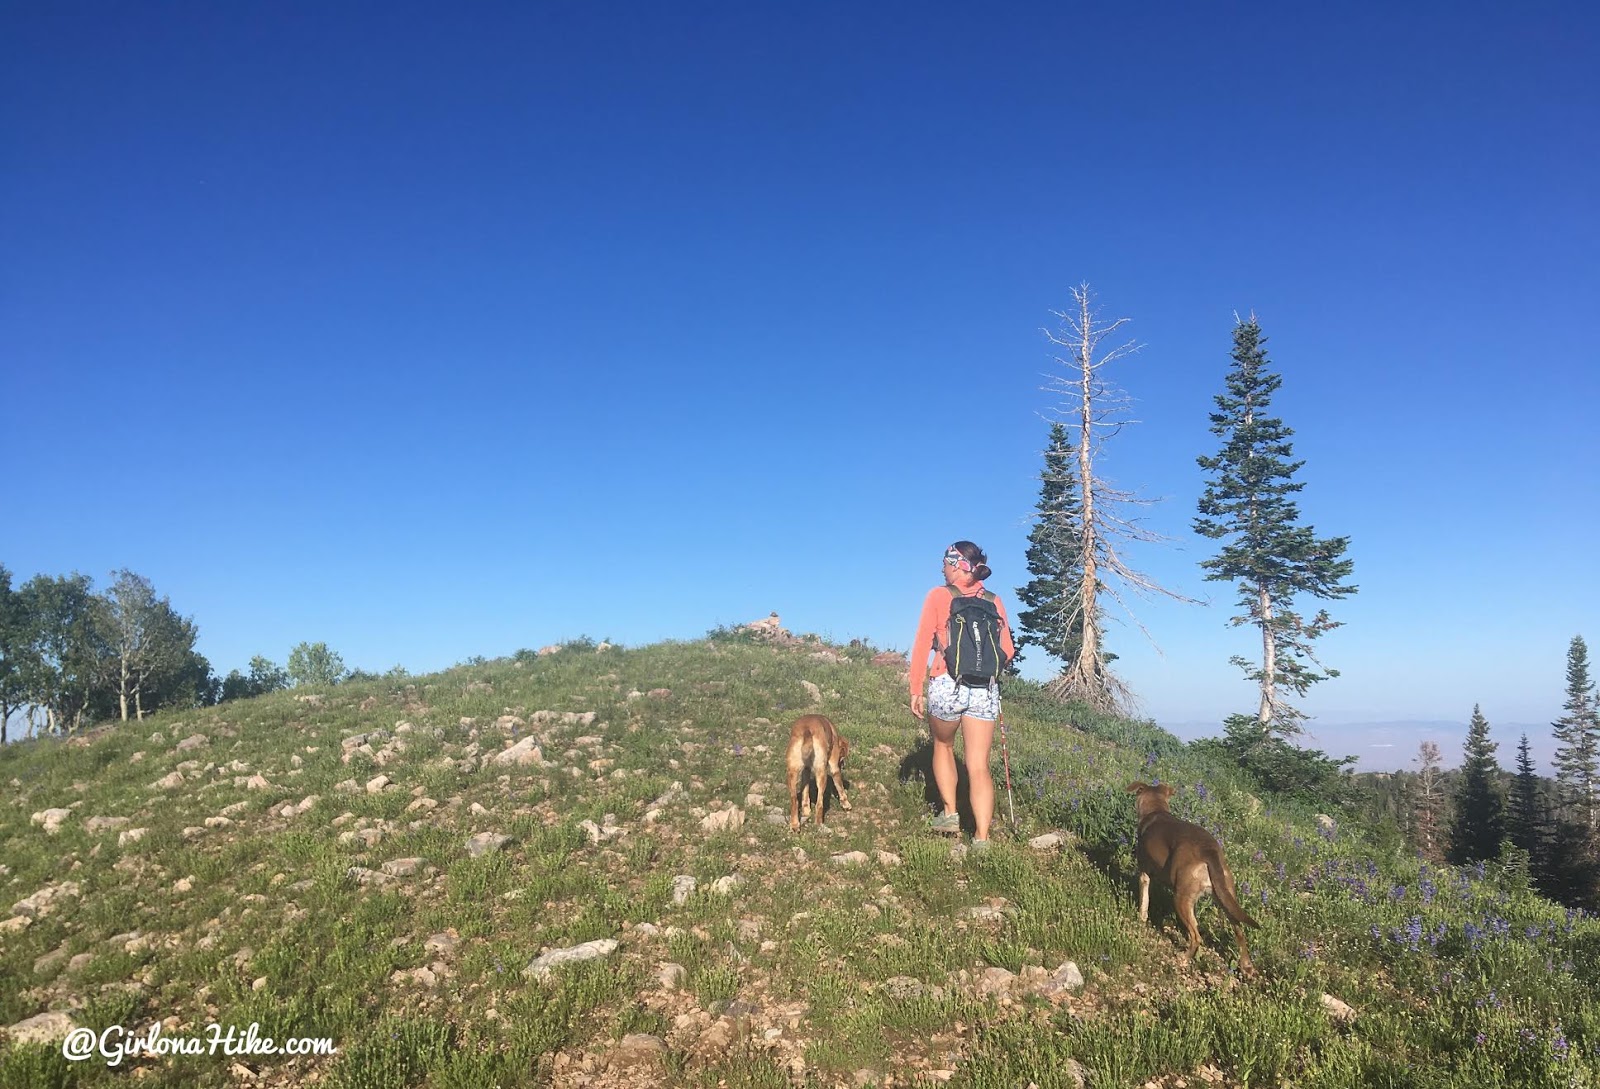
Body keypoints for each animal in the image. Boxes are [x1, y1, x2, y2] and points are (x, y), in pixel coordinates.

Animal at [1126, 780, 1260, 965]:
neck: (1156, 810)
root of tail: (1208, 850)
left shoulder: (1144, 872)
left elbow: (1144, 901)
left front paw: (1141, 919)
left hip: (1181, 897)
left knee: (1196, 936)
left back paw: (1184, 958)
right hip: (1226, 896)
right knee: (1239, 932)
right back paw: (1247, 966)